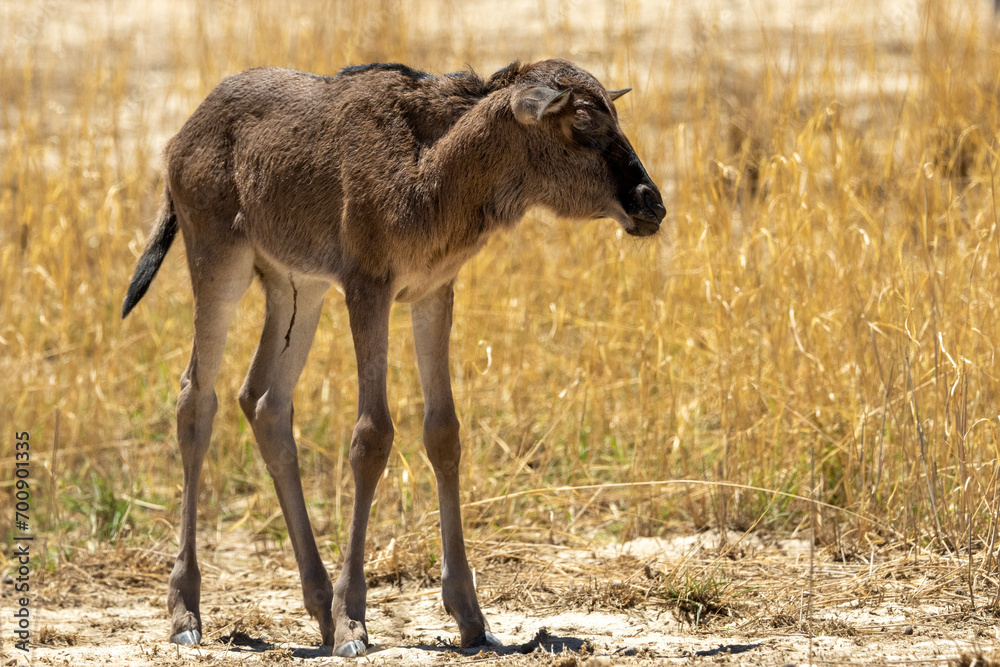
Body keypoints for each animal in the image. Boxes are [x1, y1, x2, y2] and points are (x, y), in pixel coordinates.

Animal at [122, 58, 665, 657]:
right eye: (581, 129)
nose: (651, 204)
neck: (434, 170)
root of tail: (179, 140)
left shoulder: (433, 291)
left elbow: (443, 432)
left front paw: (470, 617)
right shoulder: (368, 287)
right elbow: (372, 436)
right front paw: (354, 622)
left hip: (297, 288)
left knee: (265, 401)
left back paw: (318, 606)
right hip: (219, 261)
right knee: (197, 399)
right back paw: (186, 612)